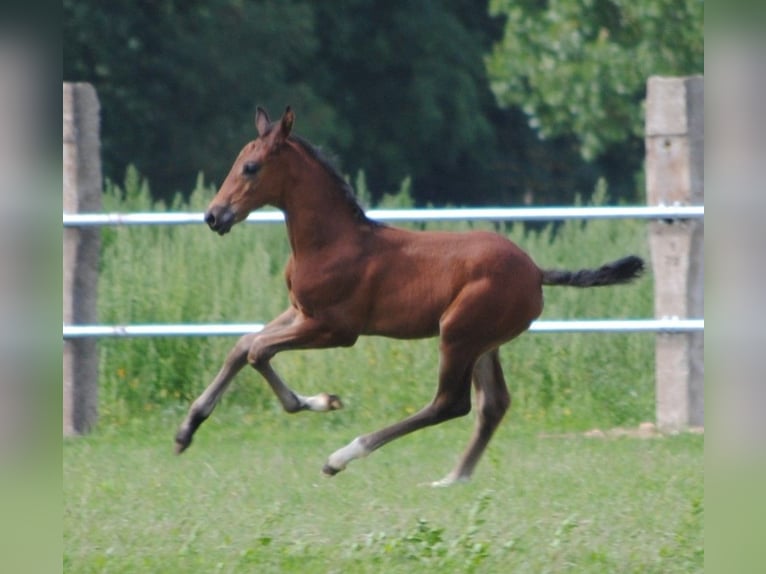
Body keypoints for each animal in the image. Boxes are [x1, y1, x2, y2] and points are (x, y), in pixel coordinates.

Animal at [174, 106, 644, 486]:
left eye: (251, 167)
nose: (214, 216)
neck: (333, 241)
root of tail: (535, 271)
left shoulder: (334, 328)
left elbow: (258, 352)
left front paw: (320, 402)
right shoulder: (299, 311)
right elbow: (243, 345)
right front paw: (186, 430)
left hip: (458, 334)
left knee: (450, 404)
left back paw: (342, 457)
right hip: (483, 343)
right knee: (493, 403)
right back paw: (453, 478)